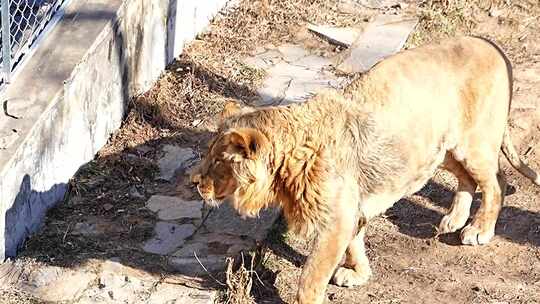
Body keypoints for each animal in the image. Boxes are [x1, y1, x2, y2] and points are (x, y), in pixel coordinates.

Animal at [190, 37, 540, 304]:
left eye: (218, 161)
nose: (194, 182)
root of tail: (490, 44)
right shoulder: (350, 210)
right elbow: (355, 242)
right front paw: (359, 274)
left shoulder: (335, 220)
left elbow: (311, 277)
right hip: (440, 149)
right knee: (469, 178)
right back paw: (453, 219)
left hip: (473, 143)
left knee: (497, 180)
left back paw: (478, 229)